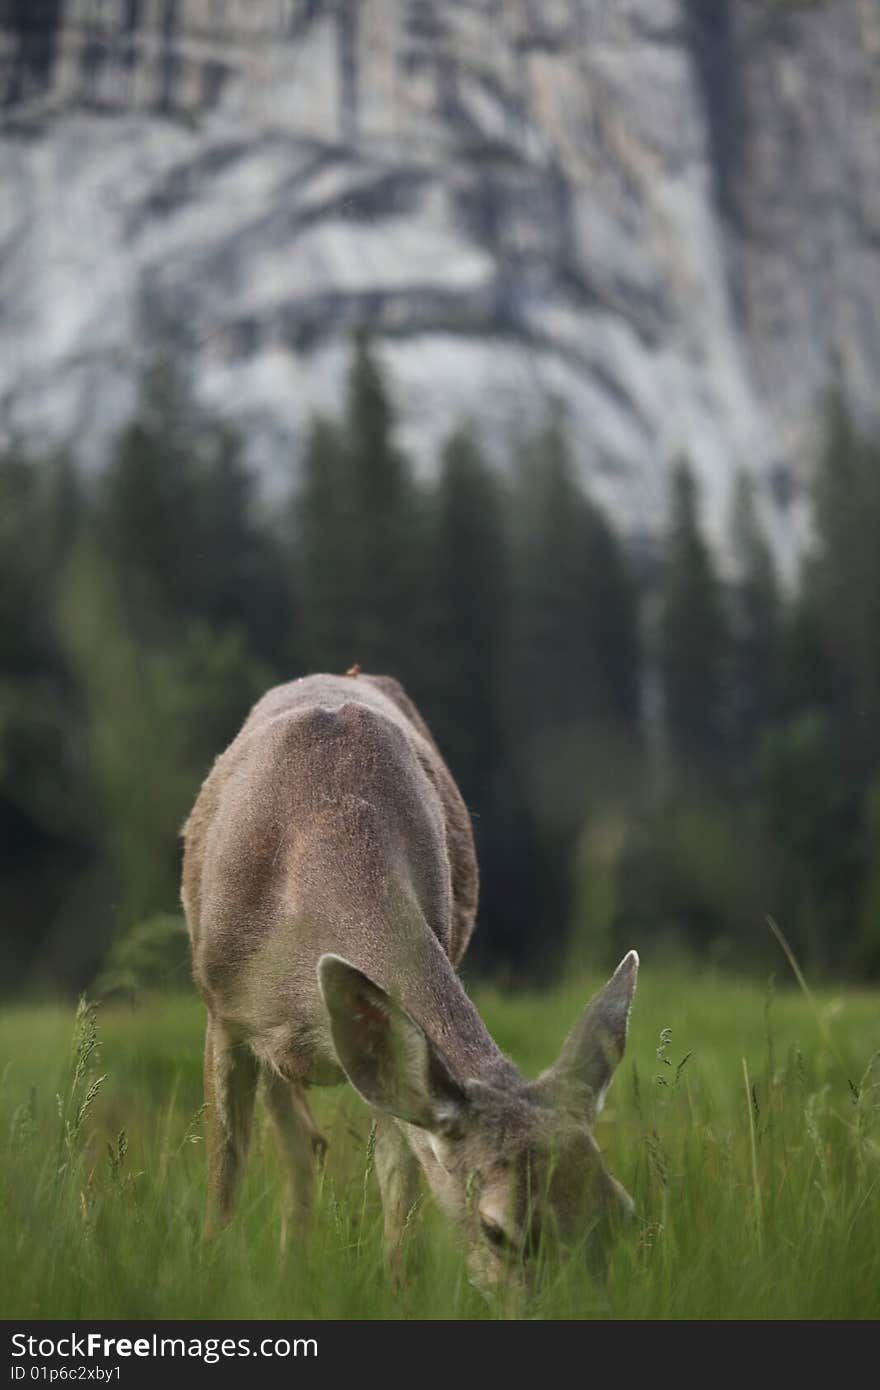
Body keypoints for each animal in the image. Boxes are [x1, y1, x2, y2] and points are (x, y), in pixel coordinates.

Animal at [182, 667, 639, 1295]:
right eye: (497, 1230)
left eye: (620, 1212)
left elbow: (400, 1206)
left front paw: (397, 1291)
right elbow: (222, 1182)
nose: (579, 1305)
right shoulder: (221, 1013)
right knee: (295, 1143)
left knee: (308, 1142)